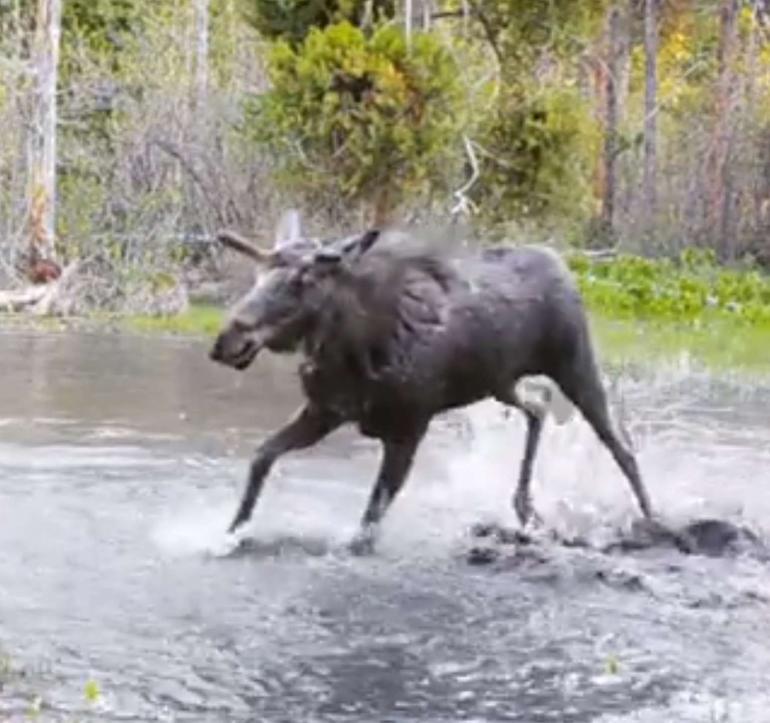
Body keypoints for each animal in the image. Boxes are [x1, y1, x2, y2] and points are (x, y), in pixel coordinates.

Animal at [207, 212, 652, 552]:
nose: (227, 341)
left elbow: (368, 523)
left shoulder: (409, 427)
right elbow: (262, 457)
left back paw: (652, 518)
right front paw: (230, 533)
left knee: (621, 444)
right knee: (539, 404)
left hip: (574, 363)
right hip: (501, 382)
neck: (353, 350)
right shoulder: (324, 412)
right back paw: (525, 508)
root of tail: (562, 264)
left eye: (303, 281)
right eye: (258, 275)